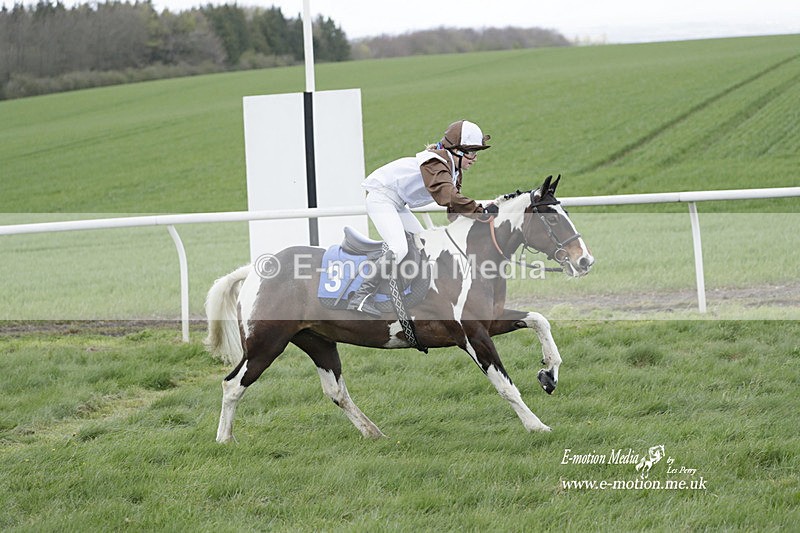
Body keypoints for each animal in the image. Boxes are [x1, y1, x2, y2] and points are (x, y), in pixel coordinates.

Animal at [205, 175, 594, 442]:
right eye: (553, 219)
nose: (585, 260)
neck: (470, 255)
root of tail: (255, 270)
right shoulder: (472, 335)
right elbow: (505, 384)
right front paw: (536, 425)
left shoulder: (491, 321)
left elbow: (539, 320)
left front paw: (549, 373)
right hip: (266, 344)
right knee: (232, 385)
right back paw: (224, 439)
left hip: (317, 341)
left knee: (336, 392)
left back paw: (373, 432)